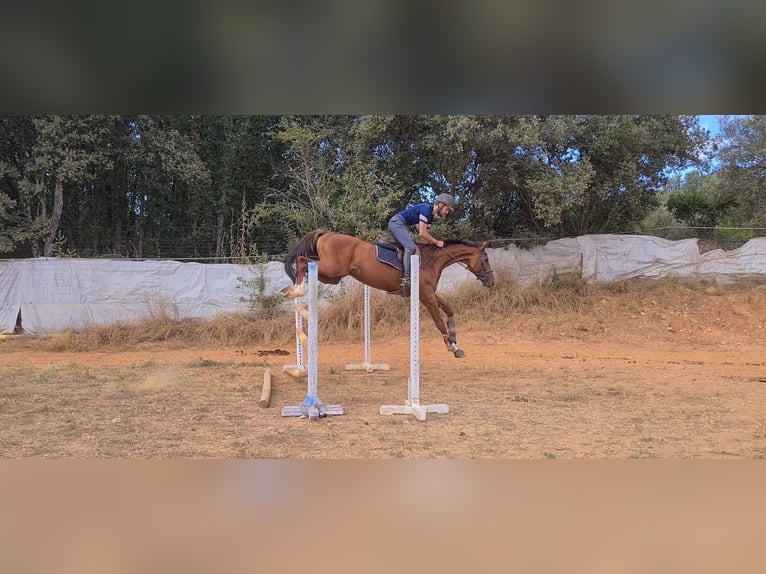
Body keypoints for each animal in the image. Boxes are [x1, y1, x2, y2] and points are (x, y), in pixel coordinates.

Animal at [282, 231, 498, 358]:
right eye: (485, 259)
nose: (491, 282)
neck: (433, 260)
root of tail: (326, 233)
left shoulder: (427, 293)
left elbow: (449, 309)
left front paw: (454, 338)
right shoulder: (426, 296)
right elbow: (438, 321)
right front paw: (452, 347)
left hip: (331, 276)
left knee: (306, 264)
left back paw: (293, 290)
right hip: (332, 269)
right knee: (301, 261)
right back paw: (295, 290)